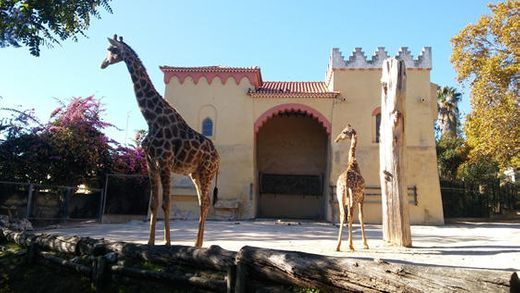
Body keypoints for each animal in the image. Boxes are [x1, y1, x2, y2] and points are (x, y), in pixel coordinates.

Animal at [100, 34, 219, 246]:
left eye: (111, 50)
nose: (102, 64)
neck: (151, 118)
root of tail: (218, 157)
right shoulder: (151, 163)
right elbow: (154, 203)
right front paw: (150, 242)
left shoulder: (164, 162)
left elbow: (166, 203)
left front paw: (167, 243)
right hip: (195, 173)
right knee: (202, 203)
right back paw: (197, 243)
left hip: (207, 171)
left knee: (204, 203)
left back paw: (197, 244)